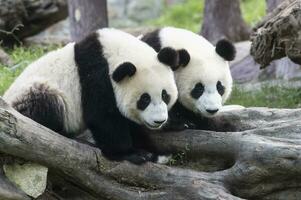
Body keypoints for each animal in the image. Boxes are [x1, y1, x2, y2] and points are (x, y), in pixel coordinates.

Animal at [2, 28, 178, 163]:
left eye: (165, 95)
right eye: (144, 99)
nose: (159, 121)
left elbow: (129, 123)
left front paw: (155, 153)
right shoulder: (96, 76)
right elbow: (104, 118)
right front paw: (130, 154)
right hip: (33, 92)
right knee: (44, 104)